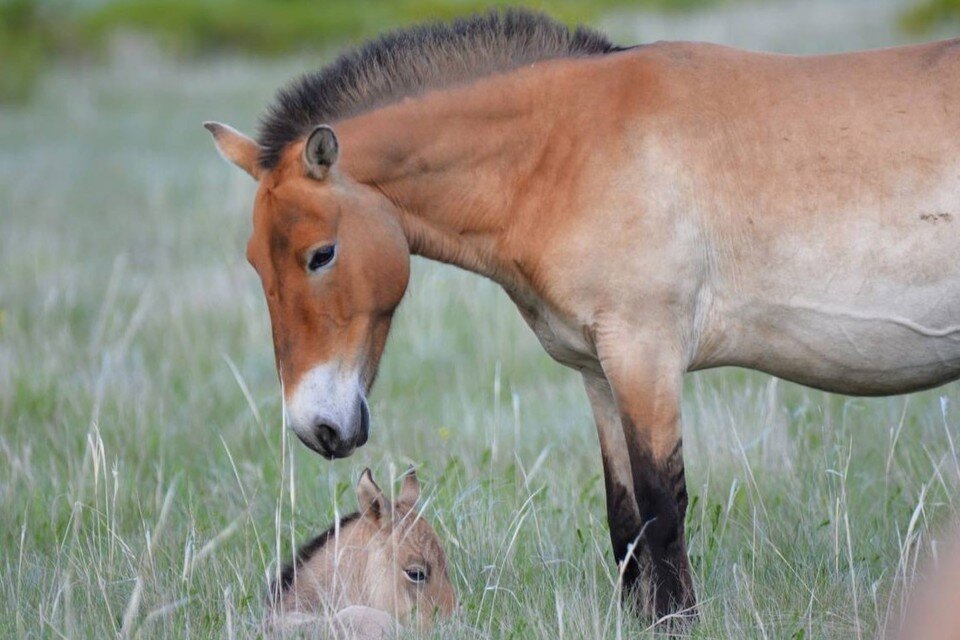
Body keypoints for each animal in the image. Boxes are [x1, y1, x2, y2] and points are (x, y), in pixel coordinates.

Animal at [206, 8, 960, 620]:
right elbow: (624, 521)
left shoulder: (645, 357)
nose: (318, 427)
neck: (566, 154)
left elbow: (662, 511)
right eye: (254, 261)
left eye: (320, 254)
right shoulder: (599, 371)